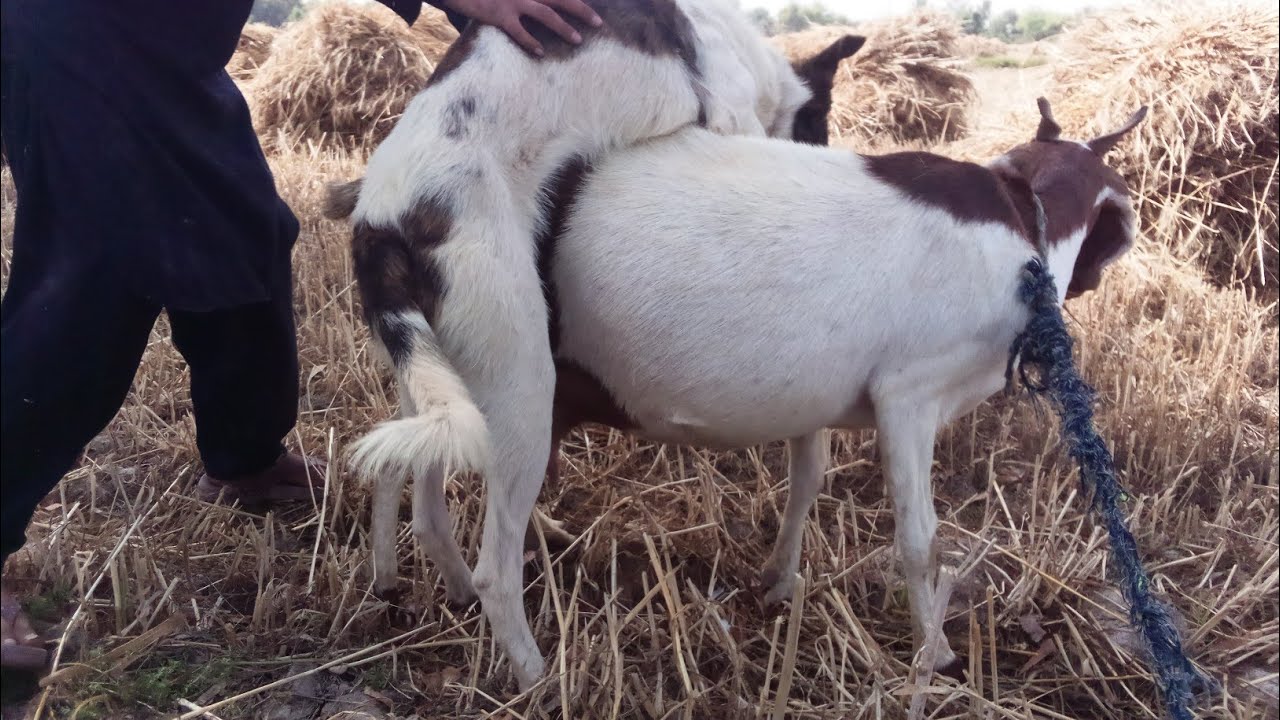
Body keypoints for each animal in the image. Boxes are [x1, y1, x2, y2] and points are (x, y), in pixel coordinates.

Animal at [325, 0, 865, 690]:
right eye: (821, 124)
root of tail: (382, 220)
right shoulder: (730, 117)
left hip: (439, 380)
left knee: (410, 487)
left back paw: (413, 582)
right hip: (521, 383)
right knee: (496, 567)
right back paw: (536, 677)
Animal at [504, 97, 1145, 684]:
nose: (1088, 282)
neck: (1019, 224)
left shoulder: (811, 401)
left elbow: (807, 482)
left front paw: (779, 581)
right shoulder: (909, 393)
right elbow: (919, 539)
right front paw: (935, 656)